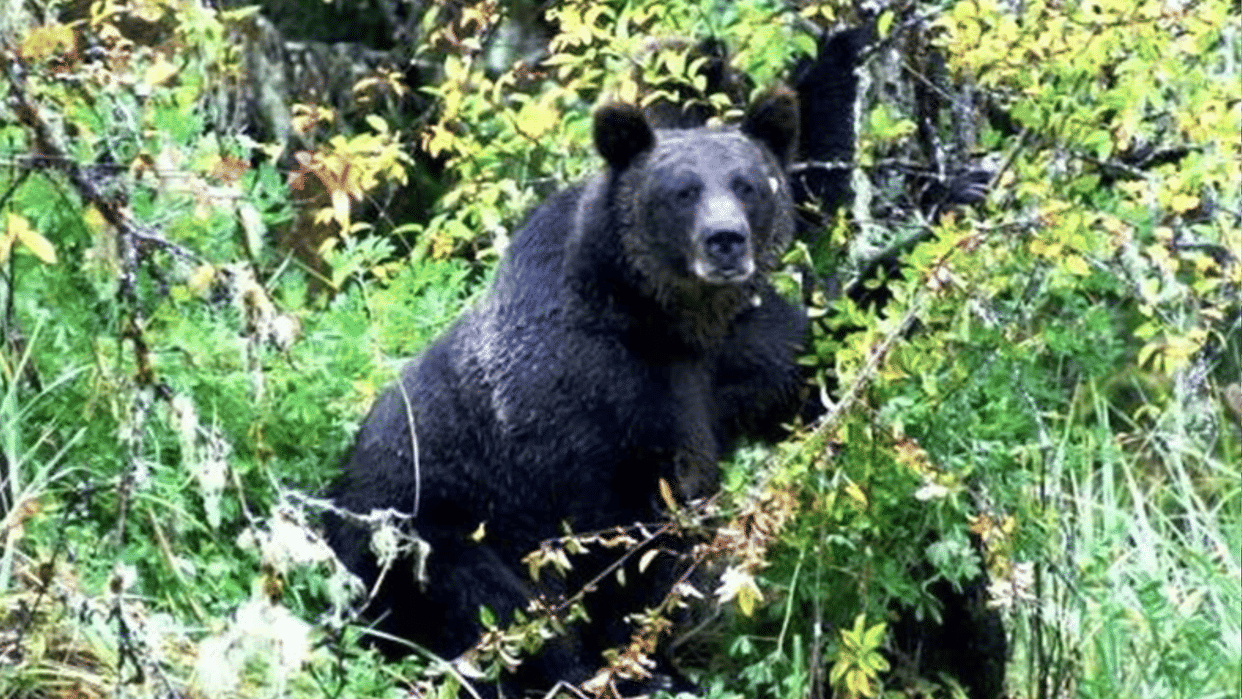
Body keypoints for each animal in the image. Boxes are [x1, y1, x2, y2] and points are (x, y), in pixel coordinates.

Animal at [324, 88, 807, 695]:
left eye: (747, 184)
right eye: (682, 191)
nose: (725, 241)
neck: (671, 322)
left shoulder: (744, 353)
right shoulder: (582, 395)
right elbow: (618, 538)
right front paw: (638, 664)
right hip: (421, 535)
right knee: (494, 606)